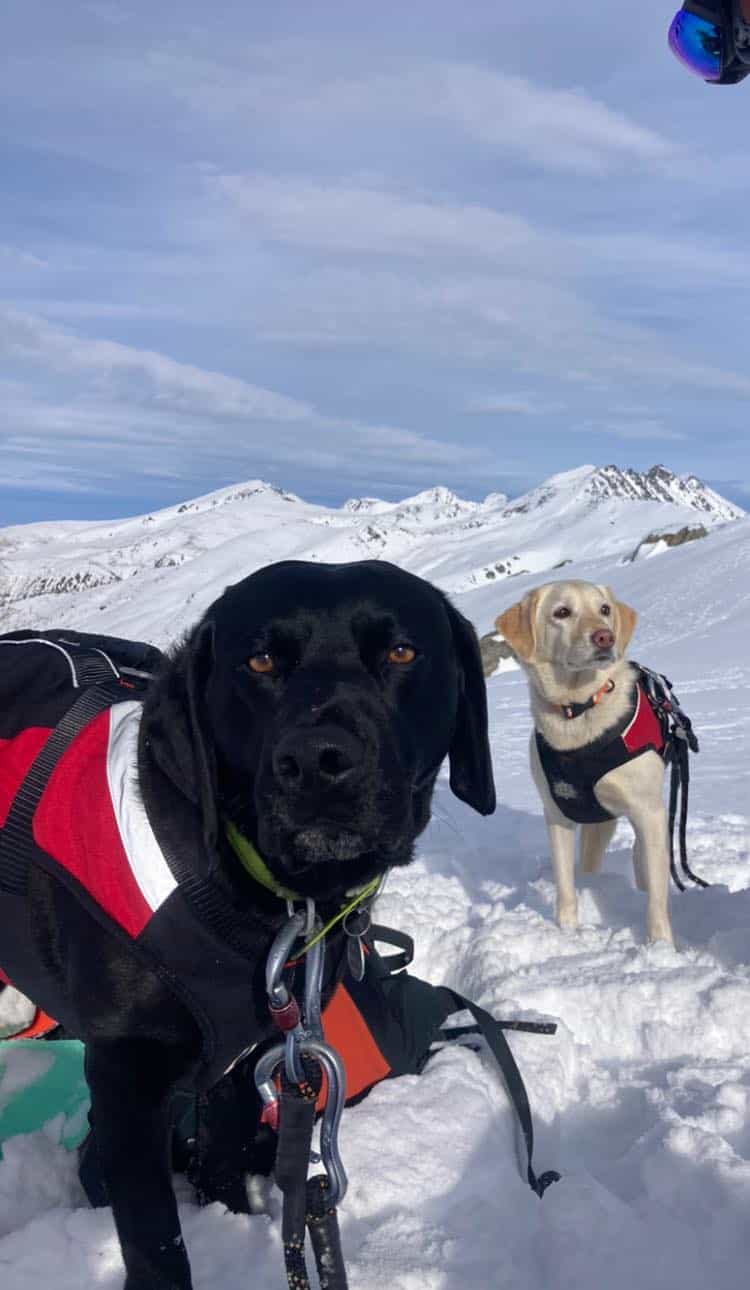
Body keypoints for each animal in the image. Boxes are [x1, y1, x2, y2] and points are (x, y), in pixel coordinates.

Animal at [0, 562, 490, 1290]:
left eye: (402, 652)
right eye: (259, 661)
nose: (317, 760)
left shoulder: (248, 1051)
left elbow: (222, 1157)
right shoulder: (125, 1081)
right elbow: (157, 1245)